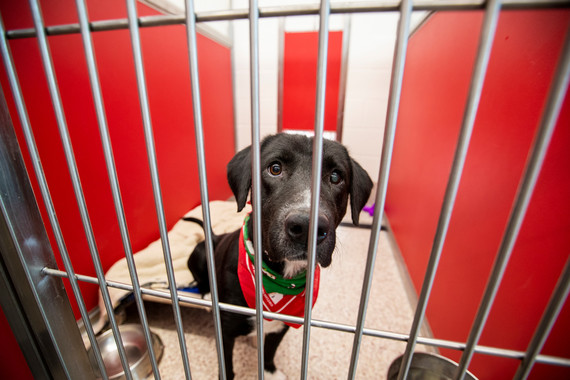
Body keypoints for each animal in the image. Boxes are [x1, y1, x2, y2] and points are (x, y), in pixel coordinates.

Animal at [186, 132, 372, 378]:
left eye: (335, 176)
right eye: (275, 168)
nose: (306, 226)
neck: (278, 277)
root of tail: (215, 236)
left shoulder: (284, 323)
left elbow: (270, 349)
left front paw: (270, 371)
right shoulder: (225, 329)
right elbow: (227, 365)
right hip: (199, 253)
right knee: (200, 280)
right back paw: (207, 295)